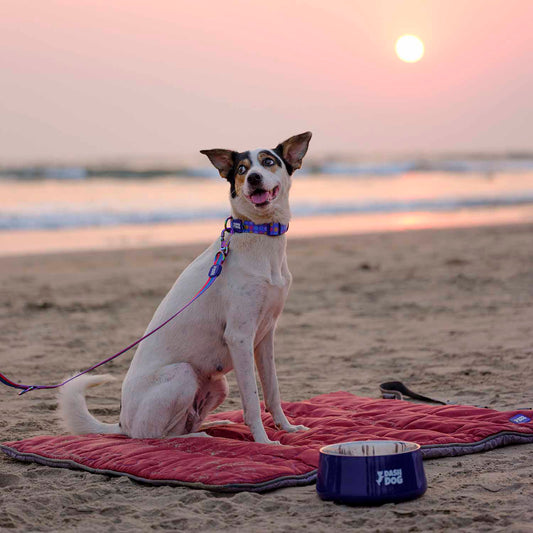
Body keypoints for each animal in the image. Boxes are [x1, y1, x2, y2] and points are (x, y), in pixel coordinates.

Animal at [59, 132, 312, 444]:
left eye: (268, 162)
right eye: (242, 169)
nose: (254, 178)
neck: (260, 235)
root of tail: (122, 423)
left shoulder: (265, 337)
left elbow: (272, 390)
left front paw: (286, 427)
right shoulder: (240, 337)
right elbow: (252, 401)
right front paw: (263, 442)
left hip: (218, 384)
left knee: (183, 425)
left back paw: (213, 427)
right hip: (182, 374)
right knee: (156, 436)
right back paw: (201, 437)